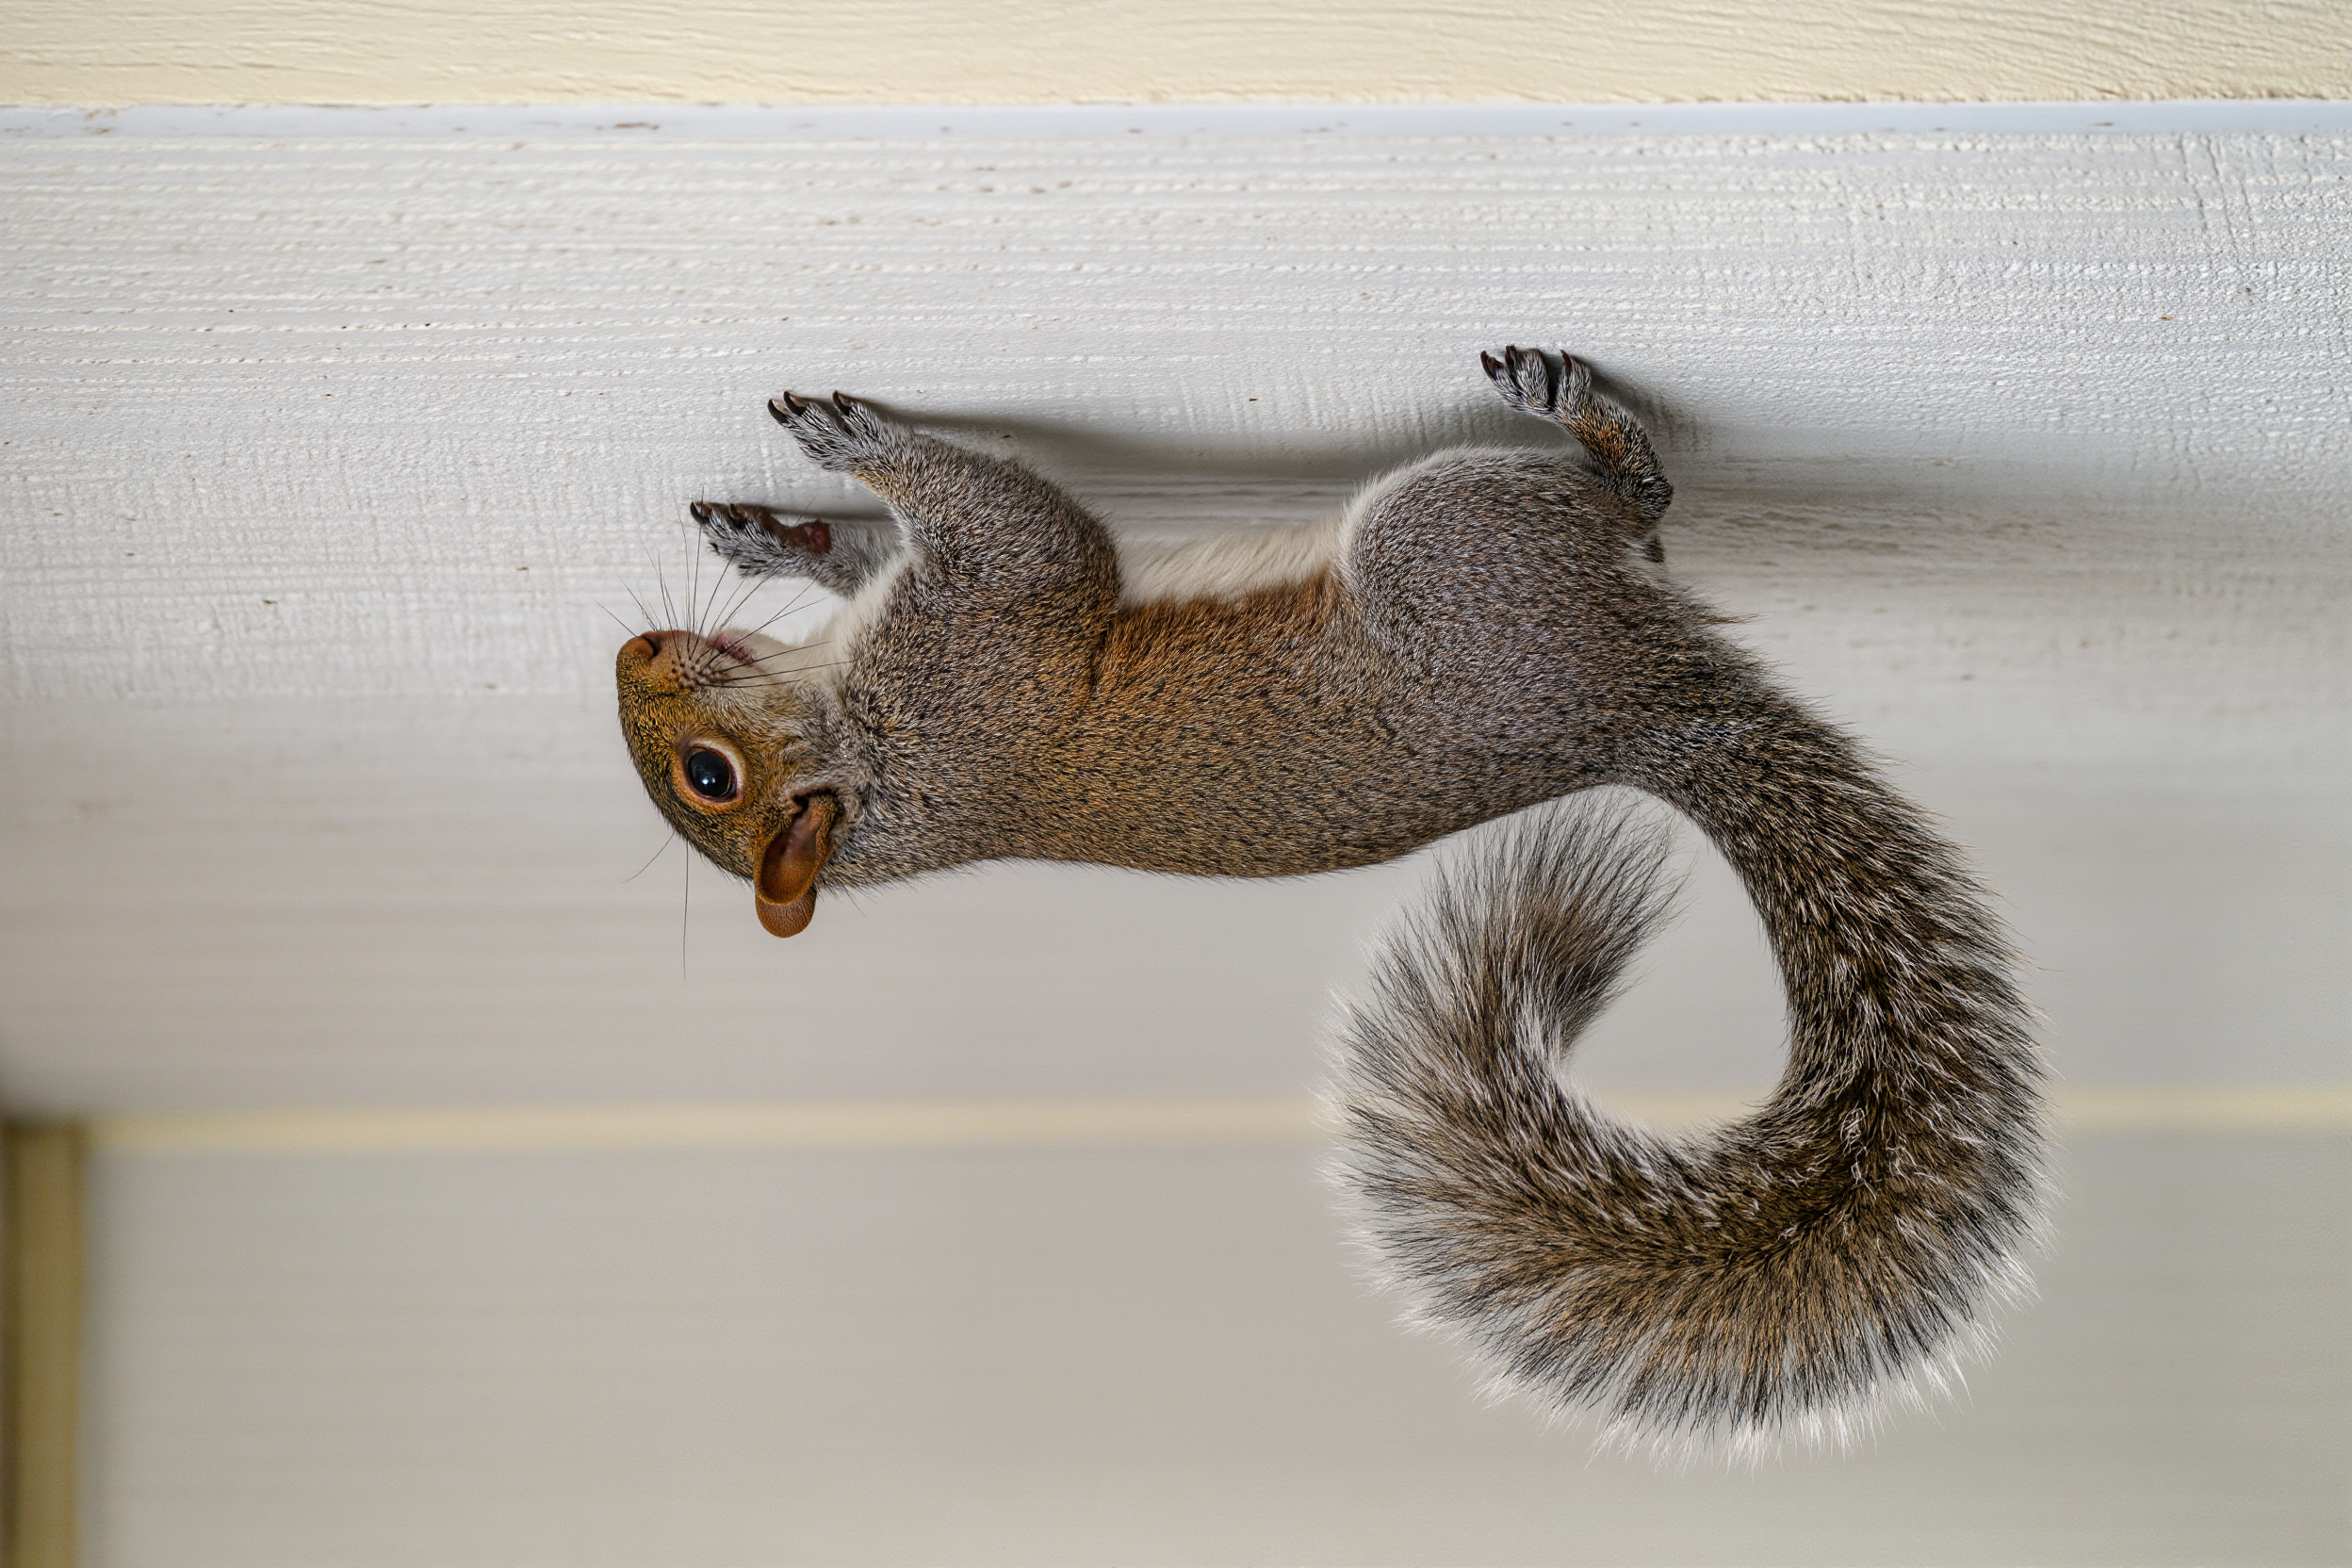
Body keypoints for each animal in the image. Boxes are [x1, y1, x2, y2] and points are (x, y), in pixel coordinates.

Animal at [615, 347, 2048, 1454]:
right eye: (710, 778)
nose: (633, 648)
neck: (875, 764)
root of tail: (1651, 710)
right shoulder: (979, 644)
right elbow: (1022, 528)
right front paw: (856, 448)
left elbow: (943, 538)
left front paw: (784, 529)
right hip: (1457, 543)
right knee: (1632, 503)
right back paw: (1586, 423)